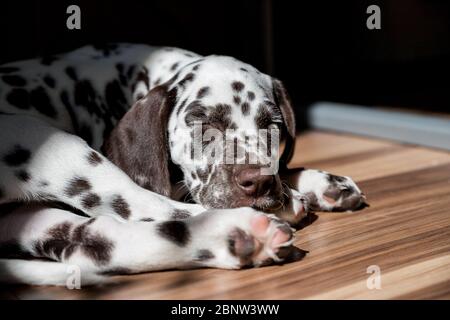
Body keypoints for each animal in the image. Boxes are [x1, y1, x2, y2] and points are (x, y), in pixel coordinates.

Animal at [0, 43, 366, 284]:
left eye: (272, 125)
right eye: (203, 124)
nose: (259, 182)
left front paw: (320, 182)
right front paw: (297, 191)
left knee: (101, 240)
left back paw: (237, 237)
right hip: (43, 139)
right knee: (145, 205)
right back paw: (255, 219)